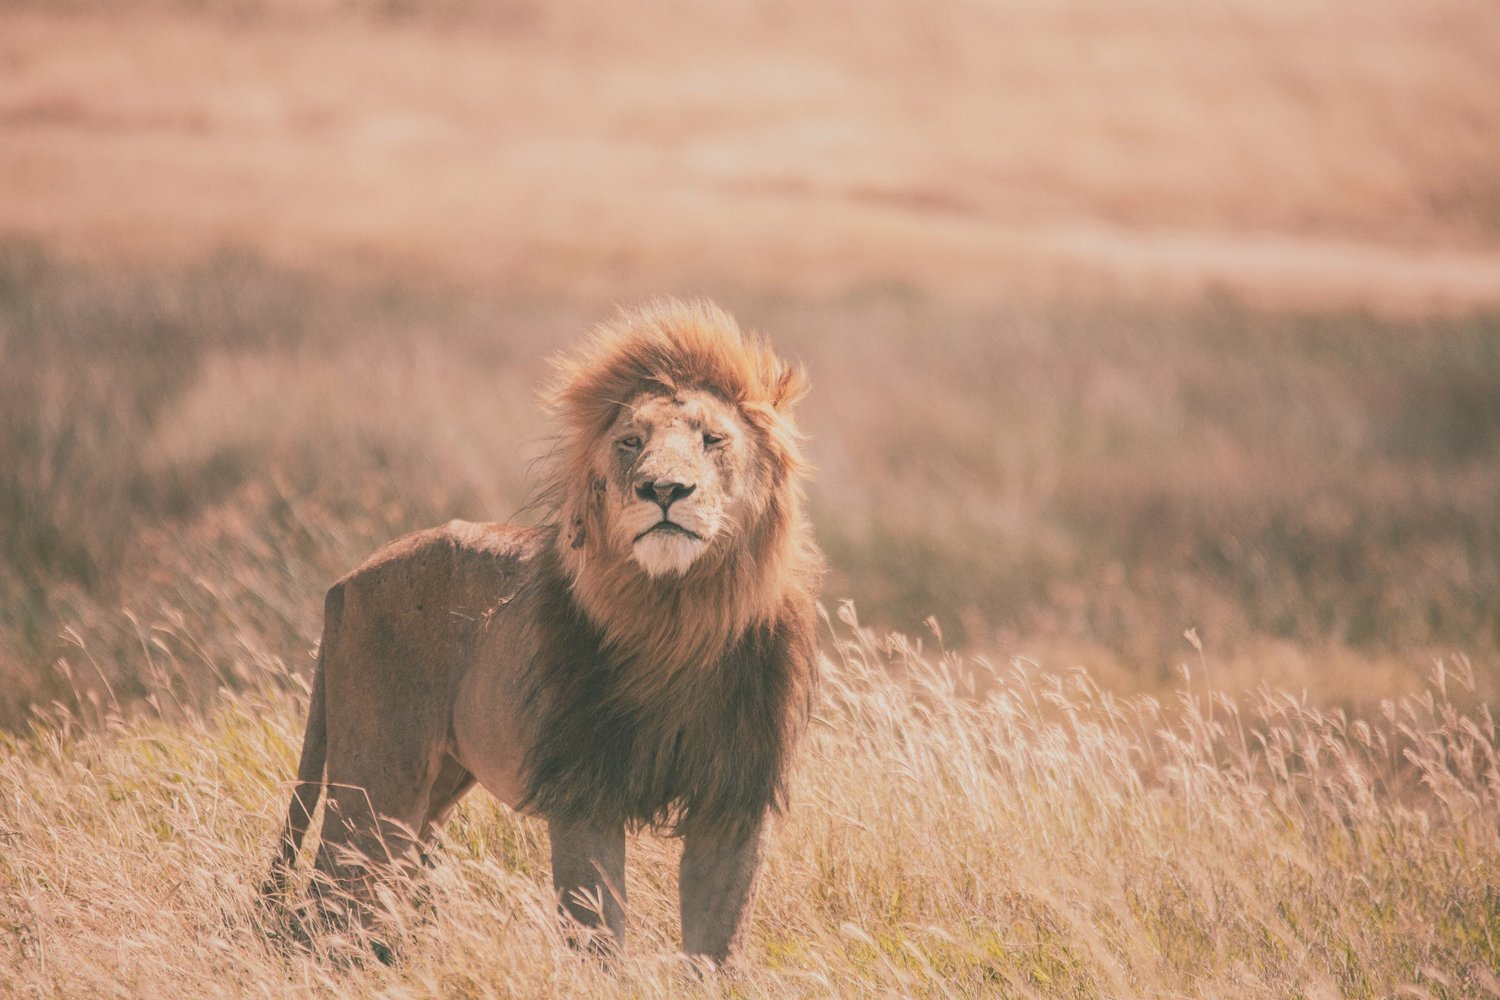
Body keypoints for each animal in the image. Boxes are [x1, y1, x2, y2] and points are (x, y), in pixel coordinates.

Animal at [264, 299, 823, 968]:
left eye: (714, 439)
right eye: (631, 442)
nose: (664, 489)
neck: (677, 618)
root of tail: (345, 580)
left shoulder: (735, 797)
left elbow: (717, 945)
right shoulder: (585, 789)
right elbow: (597, 932)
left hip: (437, 785)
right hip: (379, 778)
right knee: (329, 897)